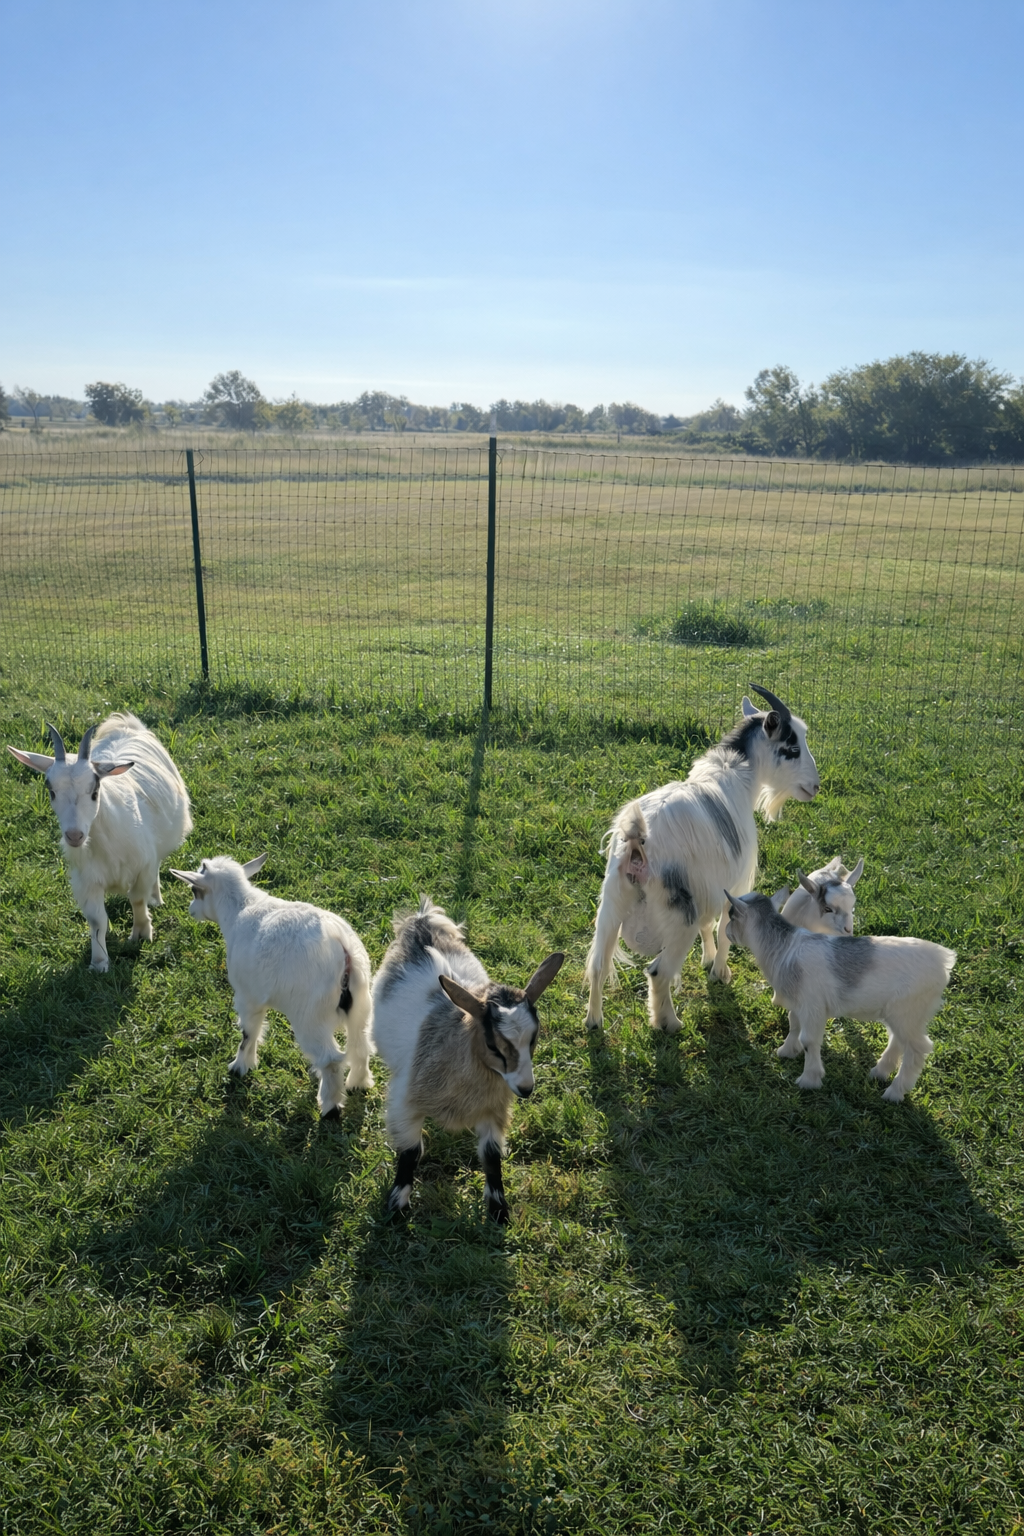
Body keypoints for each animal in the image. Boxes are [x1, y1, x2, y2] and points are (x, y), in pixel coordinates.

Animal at [7, 713, 192, 972]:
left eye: (95, 791)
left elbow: (137, 898)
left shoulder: (143, 866)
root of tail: (125, 725)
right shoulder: (87, 881)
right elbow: (97, 920)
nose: (74, 836)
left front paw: (141, 934)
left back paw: (156, 899)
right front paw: (99, 962)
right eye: (51, 791)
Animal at [170, 854, 374, 1116]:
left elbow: (249, 1031)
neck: (240, 908)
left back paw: (330, 1107)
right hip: (361, 1005)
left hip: (311, 1016)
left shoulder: (247, 996)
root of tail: (343, 949)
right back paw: (358, 1084)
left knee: (330, 1059)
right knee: (361, 1045)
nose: (191, 910)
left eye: (194, 890)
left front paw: (240, 1067)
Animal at [372, 896, 563, 1223]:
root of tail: (422, 922)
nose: (526, 1089)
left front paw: (498, 1210)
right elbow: (410, 1152)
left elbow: (491, 1155)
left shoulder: (493, 1110)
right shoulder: (404, 1103)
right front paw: (397, 1207)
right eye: (493, 1045)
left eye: (534, 1038)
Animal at [585, 686, 820, 1033]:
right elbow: (724, 929)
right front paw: (720, 973)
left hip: (612, 903)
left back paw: (593, 1021)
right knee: (658, 972)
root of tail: (637, 843)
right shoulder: (733, 885)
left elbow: (709, 926)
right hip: (679, 916)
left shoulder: (708, 884)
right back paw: (669, 1022)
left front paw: (708, 959)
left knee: (598, 964)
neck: (734, 775)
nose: (814, 786)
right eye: (792, 748)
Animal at [723, 888, 955, 1101]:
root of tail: (945, 959)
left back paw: (894, 1093)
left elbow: (808, 1040)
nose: (725, 932)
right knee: (898, 1040)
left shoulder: (813, 1007)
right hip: (902, 1014)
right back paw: (879, 1072)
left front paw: (809, 1080)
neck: (784, 948)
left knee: (918, 1049)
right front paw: (786, 1051)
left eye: (731, 916)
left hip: (909, 1012)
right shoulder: (799, 1004)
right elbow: (794, 1026)